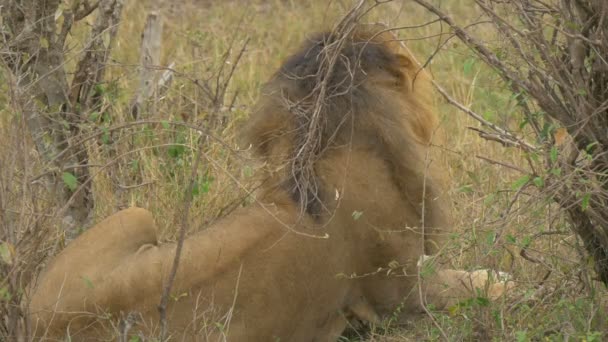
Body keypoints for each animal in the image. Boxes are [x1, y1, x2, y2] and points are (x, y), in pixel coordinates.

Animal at [28, 24, 512, 340]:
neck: (324, 151)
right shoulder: (403, 301)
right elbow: (472, 286)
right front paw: (500, 279)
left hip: (133, 214)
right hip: (137, 213)